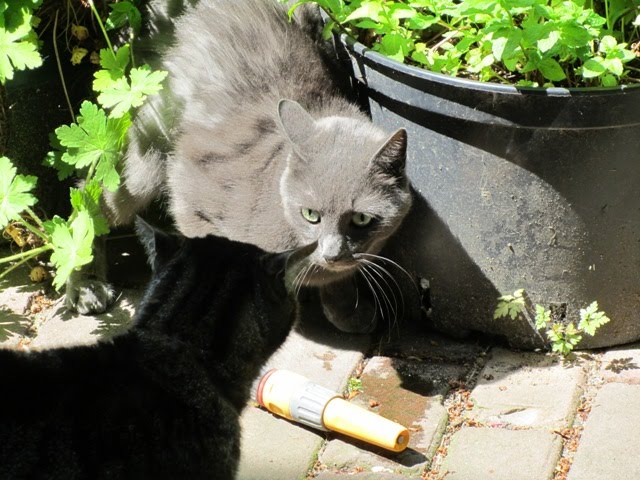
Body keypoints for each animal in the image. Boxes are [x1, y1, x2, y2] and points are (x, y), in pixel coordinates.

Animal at [76, 0, 413, 333]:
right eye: (310, 214)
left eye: (361, 219)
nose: (332, 252)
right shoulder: (192, 194)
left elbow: (340, 280)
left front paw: (348, 311)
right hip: (146, 155)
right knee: (89, 200)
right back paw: (86, 287)